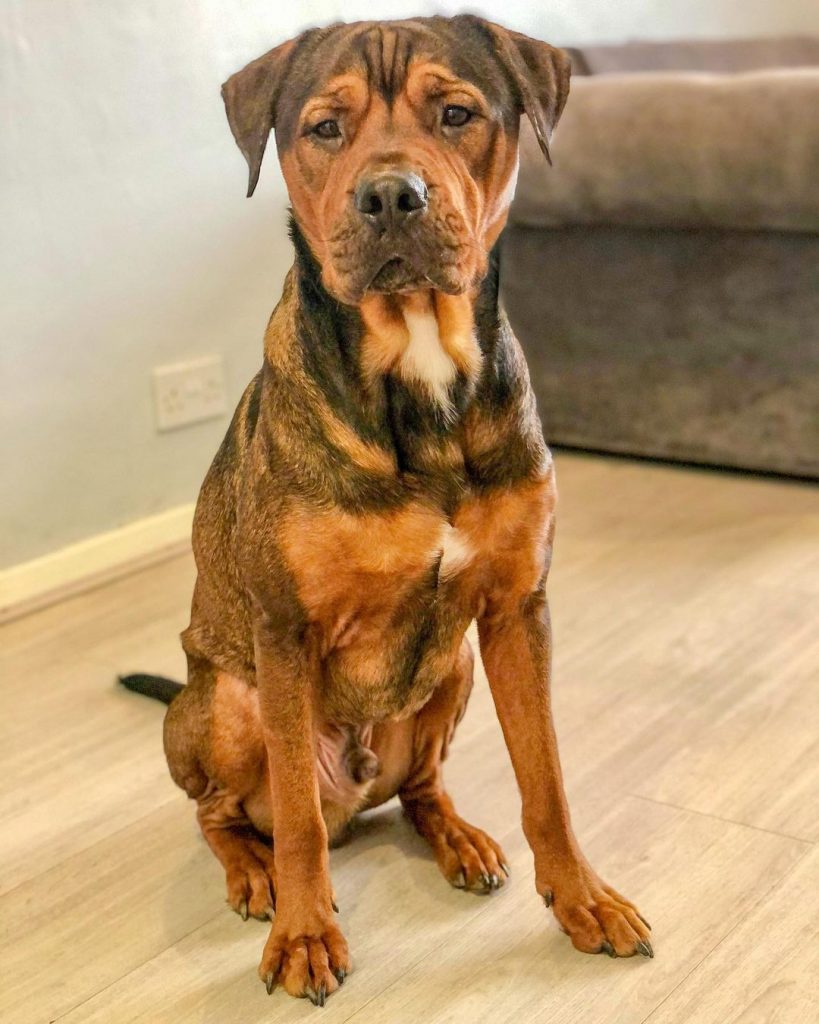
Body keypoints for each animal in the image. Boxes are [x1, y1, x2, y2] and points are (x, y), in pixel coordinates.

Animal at [118, 16, 651, 1007]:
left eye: (457, 113)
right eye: (325, 128)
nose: (391, 196)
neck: (419, 373)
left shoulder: (516, 610)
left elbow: (547, 780)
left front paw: (582, 898)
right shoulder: (285, 635)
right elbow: (294, 815)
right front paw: (302, 932)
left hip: (452, 670)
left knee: (419, 785)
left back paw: (457, 836)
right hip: (228, 704)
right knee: (227, 812)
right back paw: (251, 873)